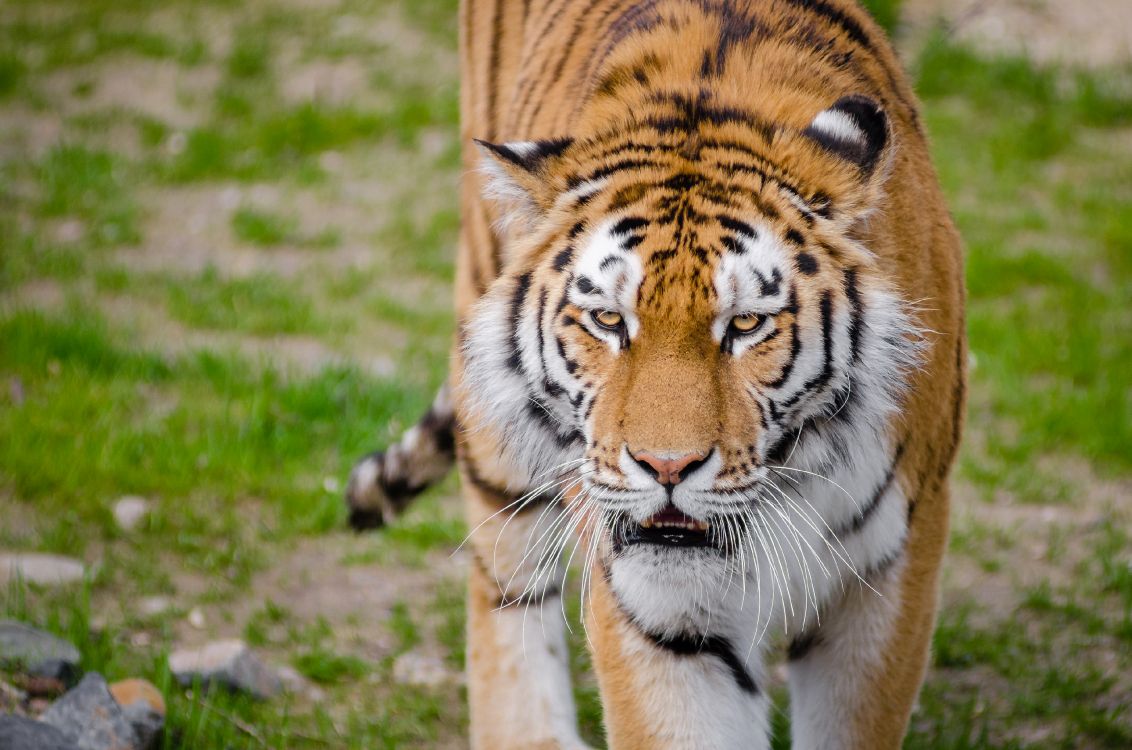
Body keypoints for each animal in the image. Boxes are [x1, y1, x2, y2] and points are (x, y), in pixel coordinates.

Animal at [346, 0, 965, 747]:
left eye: (746, 325)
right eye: (608, 321)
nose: (666, 468)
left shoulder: (890, 575)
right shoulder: (654, 607)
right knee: (504, 583)